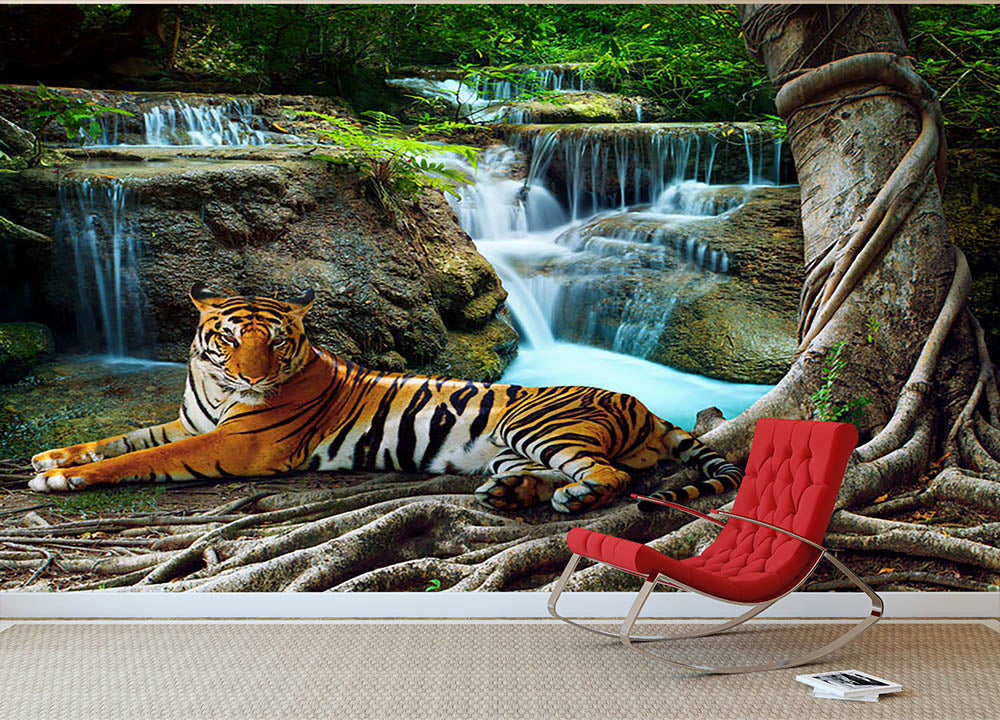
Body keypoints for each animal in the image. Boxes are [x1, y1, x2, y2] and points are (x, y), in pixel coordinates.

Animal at [29, 284, 743, 514]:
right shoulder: (187, 423)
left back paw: (577, 498)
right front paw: (51, 457)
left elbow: (133, 459)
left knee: (614, 476)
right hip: (509, 447)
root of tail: (643, 404)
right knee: (552, 473)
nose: (254, 378)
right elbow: (124, 438)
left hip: (537, 423)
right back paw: (509, 493)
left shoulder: (236, 443)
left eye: (275, 341)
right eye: (229, 337)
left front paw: (64, 479)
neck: (212, 385)